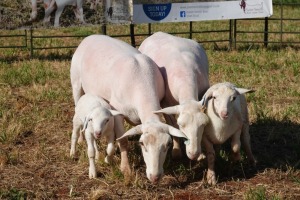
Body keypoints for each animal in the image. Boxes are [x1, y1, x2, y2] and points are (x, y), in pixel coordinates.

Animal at [70, 34, 188, 184]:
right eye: (142, 144)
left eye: (167, 144)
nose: (155, 177)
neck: (142, 85)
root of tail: (90, 37)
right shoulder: (118, 113)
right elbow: (123, 141)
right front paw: (125, 168)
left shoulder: (162, 102)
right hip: (76, 83)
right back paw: (80, 140)